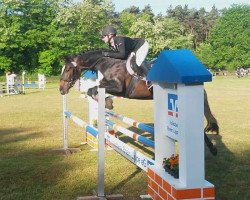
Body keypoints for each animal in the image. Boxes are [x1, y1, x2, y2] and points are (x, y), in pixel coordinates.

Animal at [59, 48, 219, 155]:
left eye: (67, 69)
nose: (61, 89)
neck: (105, 63)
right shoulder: (109, 86)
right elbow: (91, 90)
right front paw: (108, 102)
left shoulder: (118, 87)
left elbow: (93, 89)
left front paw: (108, 102)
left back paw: (212, 147)